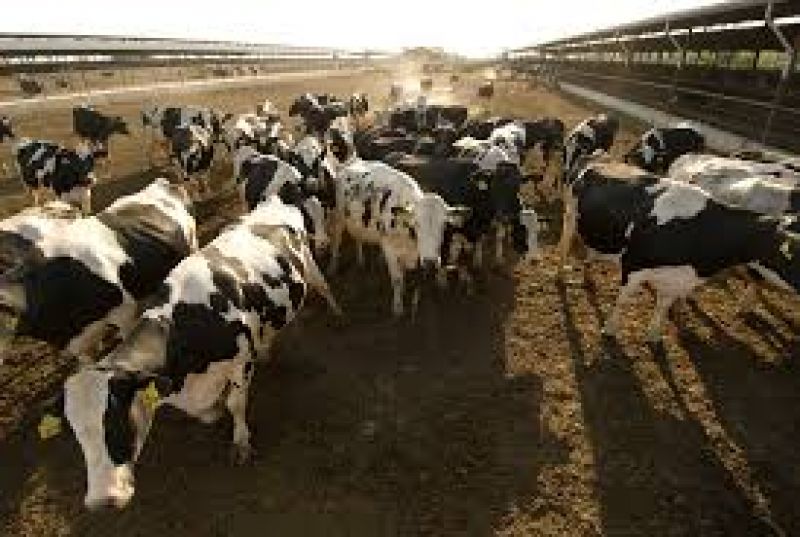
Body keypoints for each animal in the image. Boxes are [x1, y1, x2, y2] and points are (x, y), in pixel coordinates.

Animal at [41, 195, 339, 510]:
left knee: (324, 287)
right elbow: (205, 412)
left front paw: (241, 442)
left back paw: (336, 313)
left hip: (310, 268)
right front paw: (213, 412)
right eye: (76, 435)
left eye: (115, 420)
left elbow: (235, 403)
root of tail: (273, 203)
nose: (101, 500)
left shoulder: (240, 362)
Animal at [330, 160, 472, 315]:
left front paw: (415, 306)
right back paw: (333, 267)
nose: (431, 261)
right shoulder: (390, 250)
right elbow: (398, 280)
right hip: (338, 216)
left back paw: (361, 260)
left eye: (445, 224)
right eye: (416, 223)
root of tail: (353, 162)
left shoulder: (418, 256)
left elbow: (417, 283)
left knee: (358, 237)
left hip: (357, 223)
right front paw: (398, 307)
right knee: (336, 241)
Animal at [559, 160, 800, 342]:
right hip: (570, 218)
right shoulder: (634, 266)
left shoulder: (677, 280)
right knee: (564, 246)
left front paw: (654, 336)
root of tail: (600, 161)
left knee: (590, 254)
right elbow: (622, 301)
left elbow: (663, 307)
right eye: (794, 252)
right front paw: (609, 330)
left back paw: (588, 277)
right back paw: (560, 275)